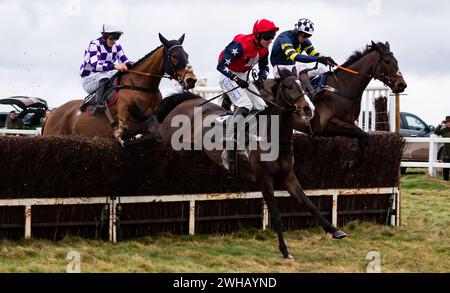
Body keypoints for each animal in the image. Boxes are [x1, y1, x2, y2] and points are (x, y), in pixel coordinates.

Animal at [42, 33, 197, 143]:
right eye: (174, 56)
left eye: (187, 55)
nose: (191, 80)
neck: (140, 86)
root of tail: (52, 115)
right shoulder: (126, 119)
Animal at [121, 68, 346, 258]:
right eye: (290, 86)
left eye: (305, 87)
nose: (308, 109)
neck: (272, 136)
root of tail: (192, 101)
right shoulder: (264, 179)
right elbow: (276, 214)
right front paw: (285, 250)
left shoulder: (288, 177)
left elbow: (310, 203)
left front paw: (335, 231)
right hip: (167, 135)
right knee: (150, 125)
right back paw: (123, 136)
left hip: (178, 144)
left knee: (151, 130)